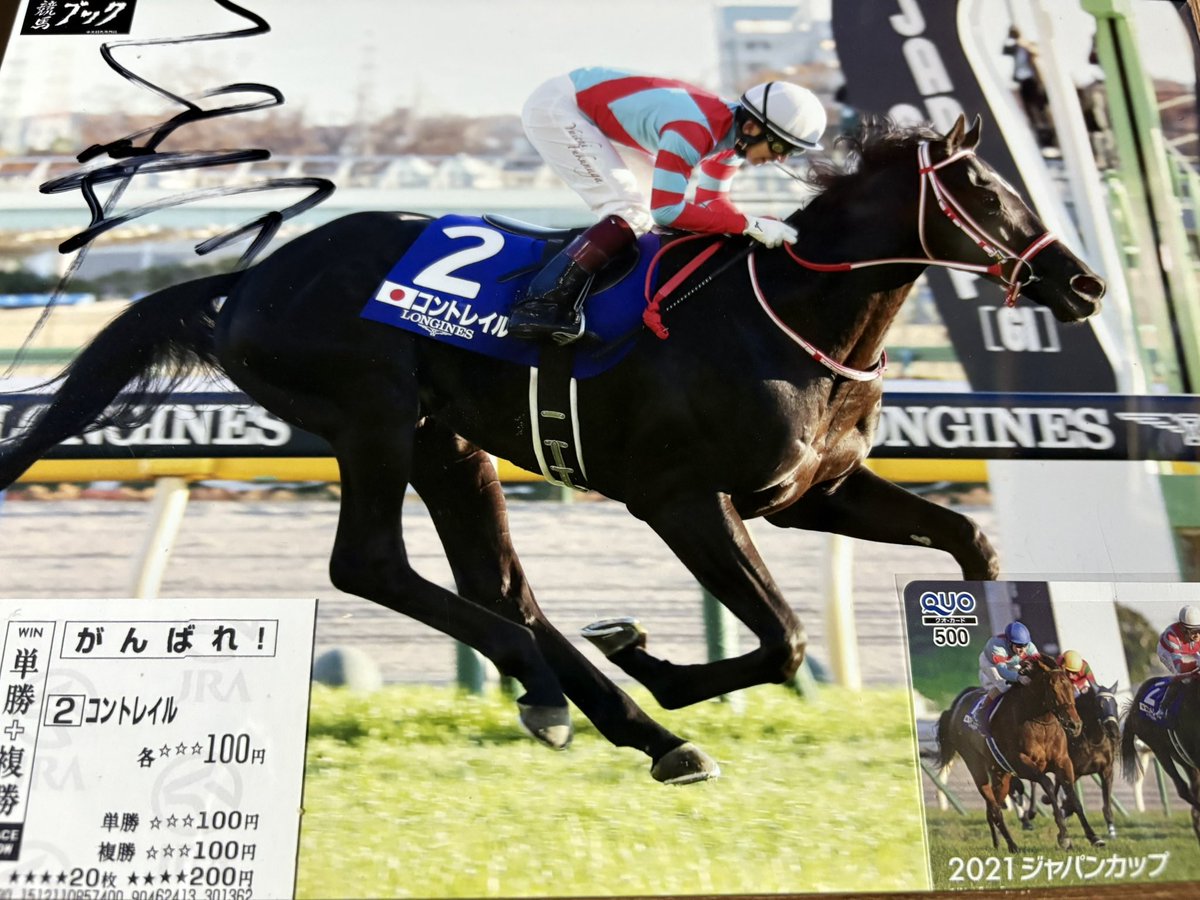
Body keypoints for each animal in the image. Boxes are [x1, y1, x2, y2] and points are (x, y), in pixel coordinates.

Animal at [0, 115, 1105, 785]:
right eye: (986, 192)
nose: (1085, 285)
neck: (787, 316)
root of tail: (250, 278)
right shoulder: (681, 497)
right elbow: (786, 638)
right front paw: (655, 661)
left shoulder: (812, 493)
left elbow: (970, 541)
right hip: (370, 412)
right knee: (371, 564)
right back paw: (574, 692)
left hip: (447, 441)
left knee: (501, 588)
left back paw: (616, 720)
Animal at [936, 657, 1105, 851]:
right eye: (1053, 688)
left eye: (1070, 687)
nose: (1074, 725)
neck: (1039, 722)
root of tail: (954, 708)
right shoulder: (1020, 763)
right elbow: (1048, 785)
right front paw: (1064, 837)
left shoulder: (1063, 762)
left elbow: (1073, 798)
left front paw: (1094, 837)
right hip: (976, 766)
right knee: (994, 807)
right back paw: (1012, 845)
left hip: (1000, 773)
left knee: (993, 806)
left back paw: (997, 842)